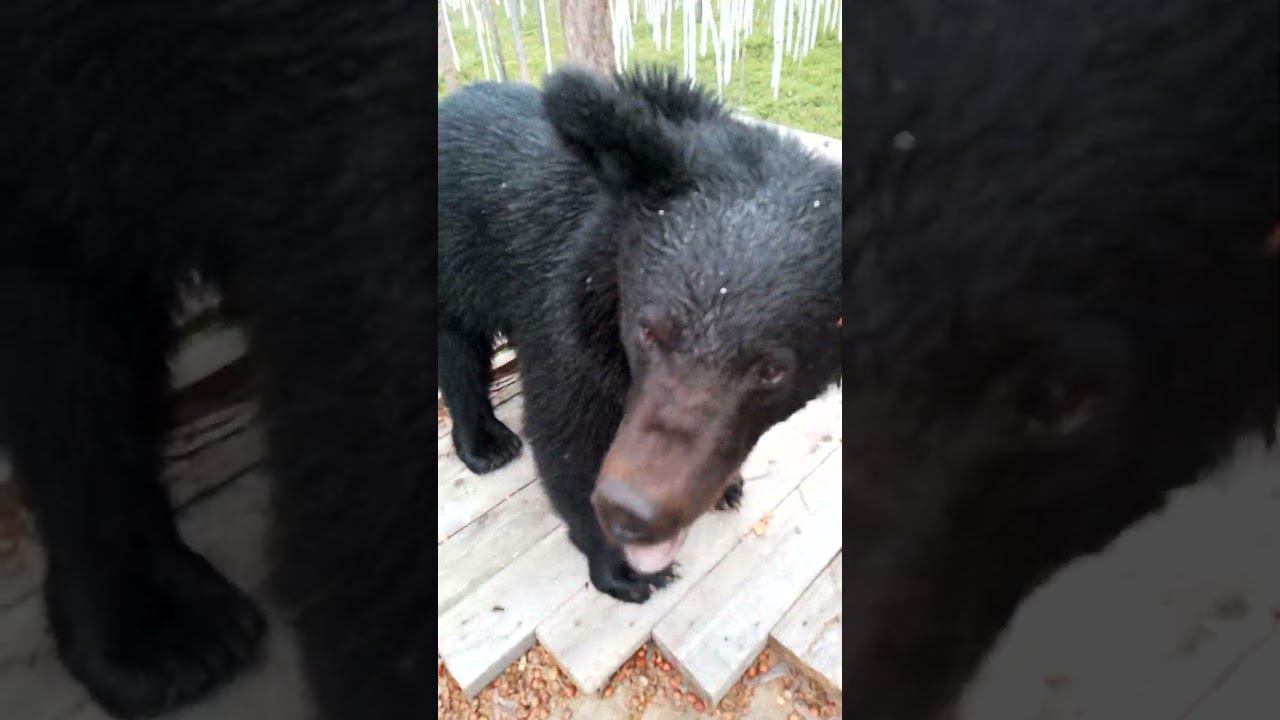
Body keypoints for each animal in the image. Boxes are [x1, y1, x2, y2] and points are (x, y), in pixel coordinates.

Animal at [437, 67, 842, 603]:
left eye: (773, 370)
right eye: (649, 331)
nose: (635, 511)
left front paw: (727, 485)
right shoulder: (568, 317)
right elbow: (567, 436)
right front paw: (624, 569)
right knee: (456, 348)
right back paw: (486, 443)